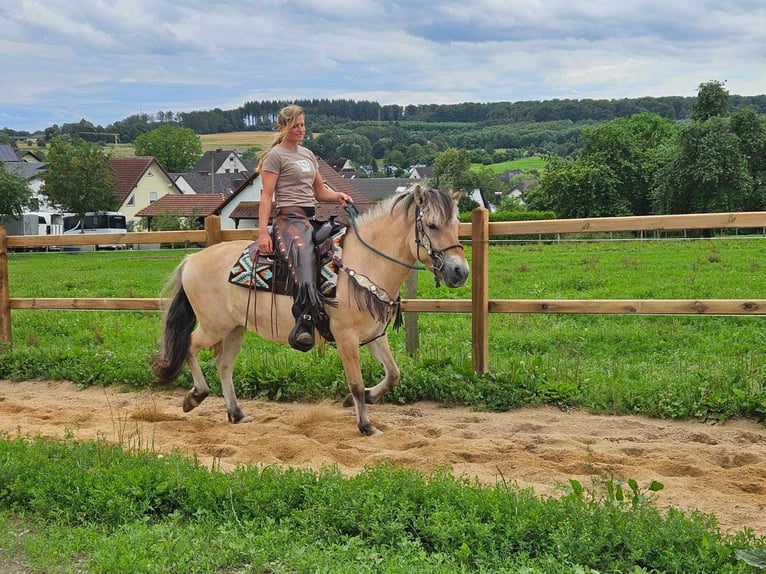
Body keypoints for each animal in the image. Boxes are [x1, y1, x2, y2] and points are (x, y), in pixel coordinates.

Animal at [152, 188, 472, 436]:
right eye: (432, 226)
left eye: (456, 224)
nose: (460, 272)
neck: (364, 261)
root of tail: (192, 259)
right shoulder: (346, 338)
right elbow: (356, 383)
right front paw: (365, 425)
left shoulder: (373, 335)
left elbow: (393, 374)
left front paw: (361, 400)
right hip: (213, 326)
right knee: (190, 347)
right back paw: (195, 397)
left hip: (235, 328)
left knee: (223, 364)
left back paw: (237, 413)